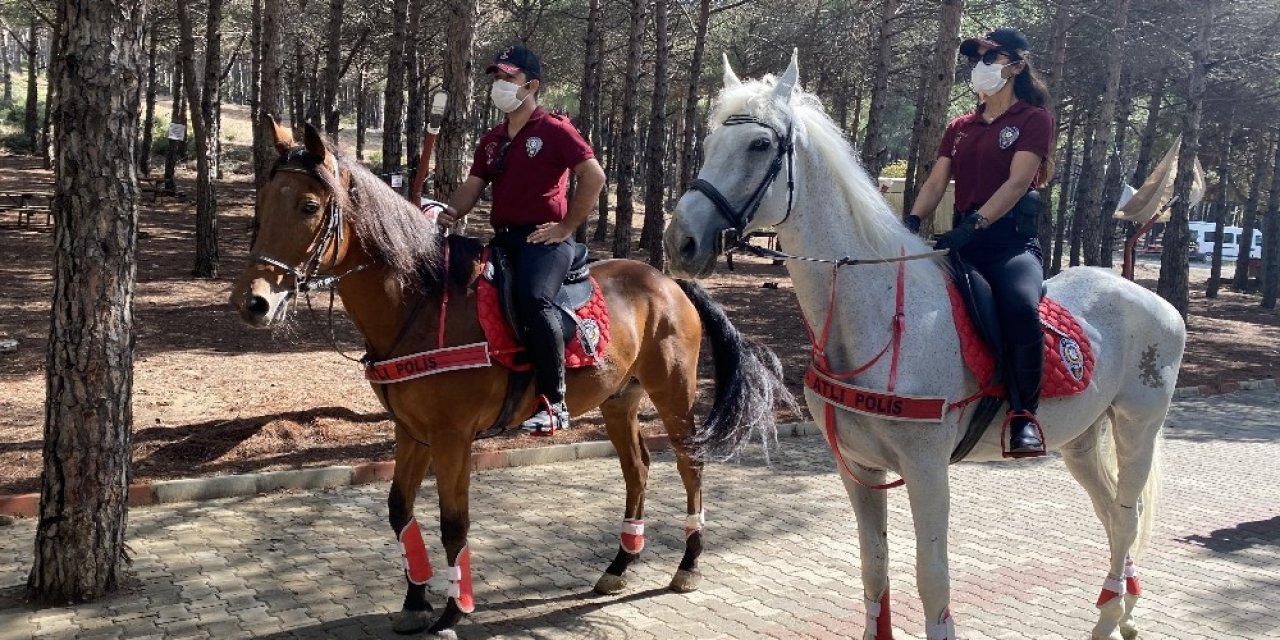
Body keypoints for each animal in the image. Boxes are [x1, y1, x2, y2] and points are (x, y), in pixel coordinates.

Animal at [230, 123, 788, 634]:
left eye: (308, 206)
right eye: (264, 200)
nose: (254, 302)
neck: (421, 302)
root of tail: (669, 281)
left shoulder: (452, 438)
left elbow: (454, 524)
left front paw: (453, 611)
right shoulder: (410, 432)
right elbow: (399, 510)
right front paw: (415, 600)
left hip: (673, 393)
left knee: (690, 465)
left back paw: (688, 564)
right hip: (618, 401)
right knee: (638, 470)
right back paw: (620, 564)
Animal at [665, 53, 1182, 640]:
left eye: (759, 145)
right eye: (709, 141)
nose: (680, 240)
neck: (878, 316)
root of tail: (1153, 300)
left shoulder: (927, 469)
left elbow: (932, 579)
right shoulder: (858, 468)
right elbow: (874, 567)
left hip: (1138, 426)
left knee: (1128, 515)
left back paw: (1112, 615)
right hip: (1081, 440)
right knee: (1112, 516)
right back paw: (1121, 611)